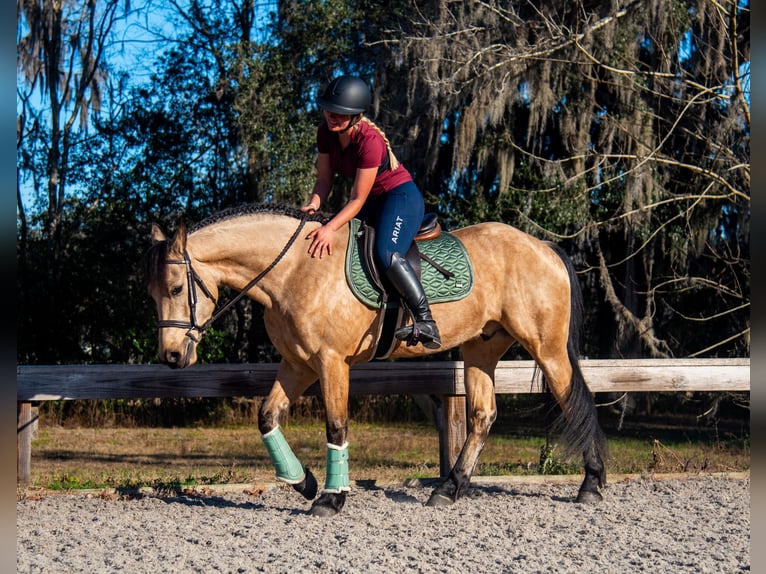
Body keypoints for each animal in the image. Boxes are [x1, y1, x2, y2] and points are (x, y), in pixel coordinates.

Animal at [145, 203, 607, 516]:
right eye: (152, 292)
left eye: (175, 288)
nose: (171, 355)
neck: (294, 271)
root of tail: (541, 245)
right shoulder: (297, 364)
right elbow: (267, 416)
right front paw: (304, 482)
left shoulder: (331, 362)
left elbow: (336, 425)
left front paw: (331, 498)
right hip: (481, 348)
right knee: (482, 416)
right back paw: (448, 489)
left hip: (546, 348)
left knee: (574, 401)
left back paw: (591, 484)